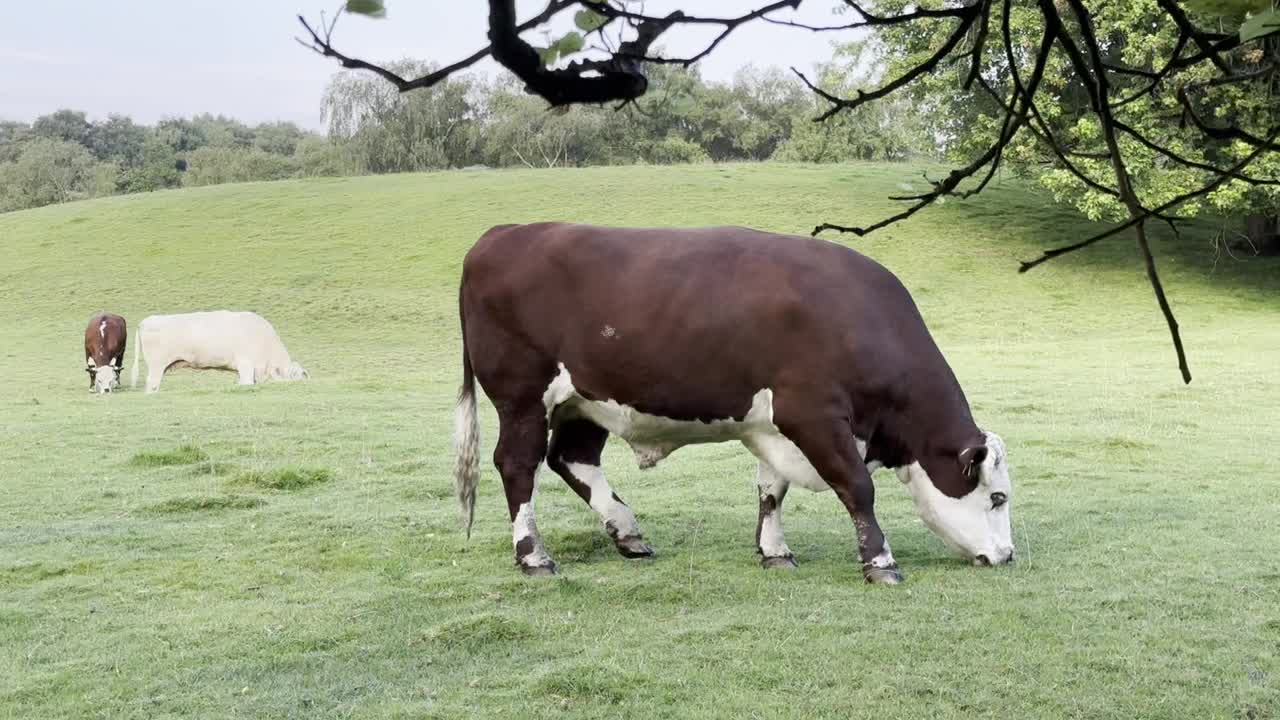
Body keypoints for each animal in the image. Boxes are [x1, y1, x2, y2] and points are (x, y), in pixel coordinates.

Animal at [450, 222, 1008, 584]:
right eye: (998, 497)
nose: (1007, 556)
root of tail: (500, 233)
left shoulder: (775, 428)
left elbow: (771, 490)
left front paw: (774, 551)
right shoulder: (812, 415)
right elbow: (857, 487)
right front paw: (880, 562)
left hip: (586, 401)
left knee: (572, 458)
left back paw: (628, 533)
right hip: (523, 397)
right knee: (518, 464)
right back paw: (534, 557)